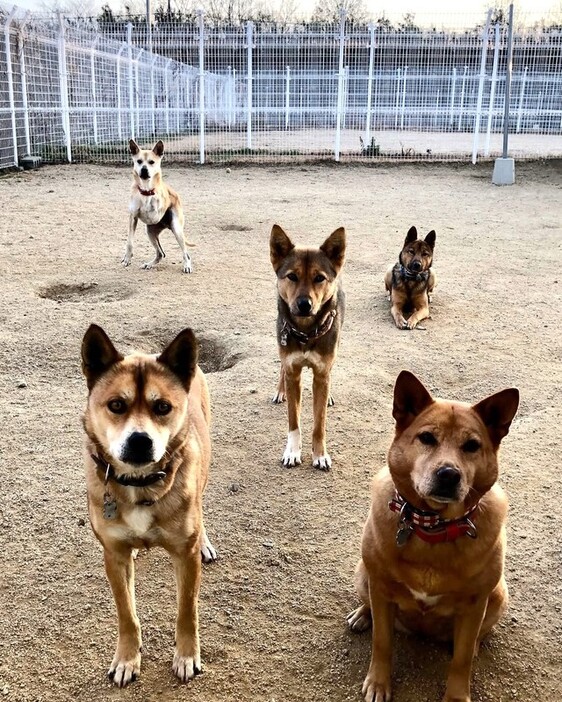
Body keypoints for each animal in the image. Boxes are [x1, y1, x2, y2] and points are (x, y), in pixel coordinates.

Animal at [81, 328, 214, 692]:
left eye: (162, 407)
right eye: (116, 405)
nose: (140, 441)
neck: (139, 484)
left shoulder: (185, 556)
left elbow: (187, 611)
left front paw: (186, 655)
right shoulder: (113, 555)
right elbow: (127, 614)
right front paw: (127, 659)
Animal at [122, 139, 192, 274]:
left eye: (151, 162)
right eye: (139, 161)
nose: (144, 169)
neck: (146, 189)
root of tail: (167, 226)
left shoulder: (156, 213)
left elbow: (152, 208)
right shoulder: (133, 217)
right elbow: (129, 242)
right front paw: (127, 258)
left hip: (176, 229)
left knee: (185, 253)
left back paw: (187, 266)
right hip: (150, 232)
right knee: (160, 254)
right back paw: (149, 264)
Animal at [270, 226, 344, 472]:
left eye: (319, 278)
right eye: (292, 276)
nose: (304, 304)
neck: (305, 332)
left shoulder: (321, 373)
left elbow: (319, 424)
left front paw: (320, 455)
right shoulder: (293, 370)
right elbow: (294, 422)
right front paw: (292, 452)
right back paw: (280, 391)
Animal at [348, 372, 520, 700]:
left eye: (472, 445)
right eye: (427, 438)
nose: (449, 474)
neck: (432, 526)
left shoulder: (475, 605)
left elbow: (461, 660)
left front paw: (456, 695)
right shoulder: (381, 588)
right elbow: (382, 641)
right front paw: (378, 683)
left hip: (498, 596)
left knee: (475, 638)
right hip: (365, 573)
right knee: (371, 607)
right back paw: (362, 614)